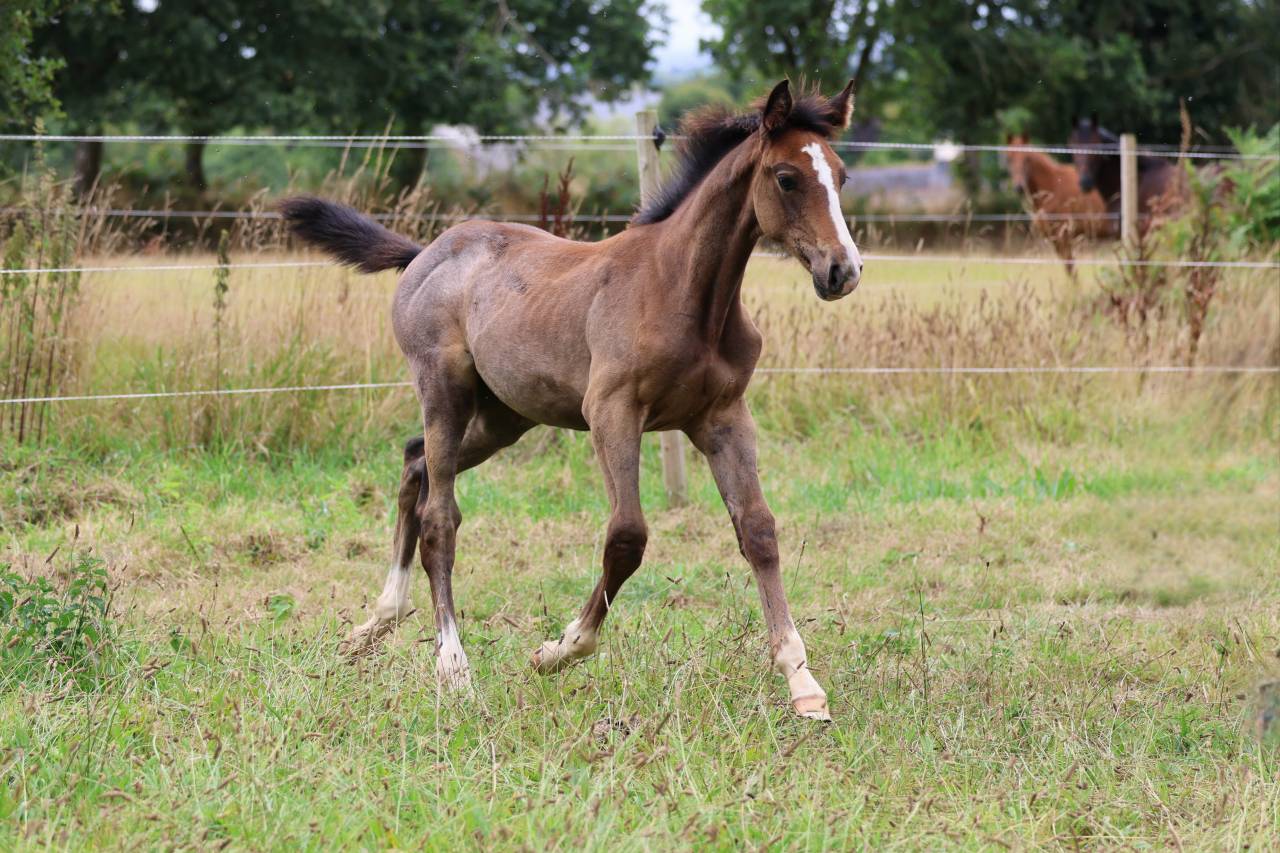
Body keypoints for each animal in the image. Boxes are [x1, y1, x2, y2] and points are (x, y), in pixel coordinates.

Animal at [281, 80, 863, 721]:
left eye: (841, 176)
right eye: (786, 177)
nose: (843, 270)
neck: (682, 292)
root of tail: (424, 254)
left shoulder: (724, 416)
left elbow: (757, 531)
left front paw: (803, 684)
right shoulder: (612, 413)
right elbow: (627, 536)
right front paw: (557, 650)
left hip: (503, 416)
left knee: (414, 463)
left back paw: (377, 623)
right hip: (444, 388)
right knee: (440, 516)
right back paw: (453, 668)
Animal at [1004, 133, 1109, 275]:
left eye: (1027, 159)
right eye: (1009, 158)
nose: (1019, 187)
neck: (1053, 186)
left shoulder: (1063, 237)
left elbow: (1071, 269)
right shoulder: (1055, 239)